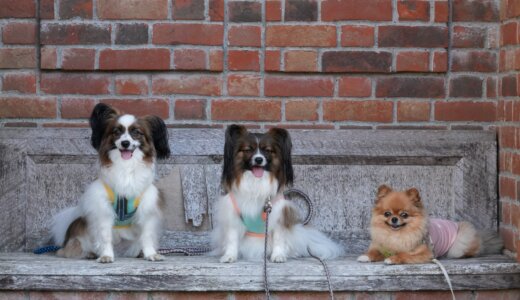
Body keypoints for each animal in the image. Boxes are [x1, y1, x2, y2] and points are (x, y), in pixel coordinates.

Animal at [50, 103, 170, 262]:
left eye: (136, 132)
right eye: (116, 132)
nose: (125, 143)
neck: (126, 167)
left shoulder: (147, 208)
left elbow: (147, 235)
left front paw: (150, 254)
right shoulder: (102, 209)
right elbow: (105, 236)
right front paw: (106, 256)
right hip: (79, 228)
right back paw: (90, 253)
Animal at [211, 124, 342, 262]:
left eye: (267, 150)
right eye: (248, 149)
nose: (259, 159)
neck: (256, 183)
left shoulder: (279, 215)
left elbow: (278, 239)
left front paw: (278, 256)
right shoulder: (232, 216)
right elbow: (232, 238)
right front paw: (230, 256)